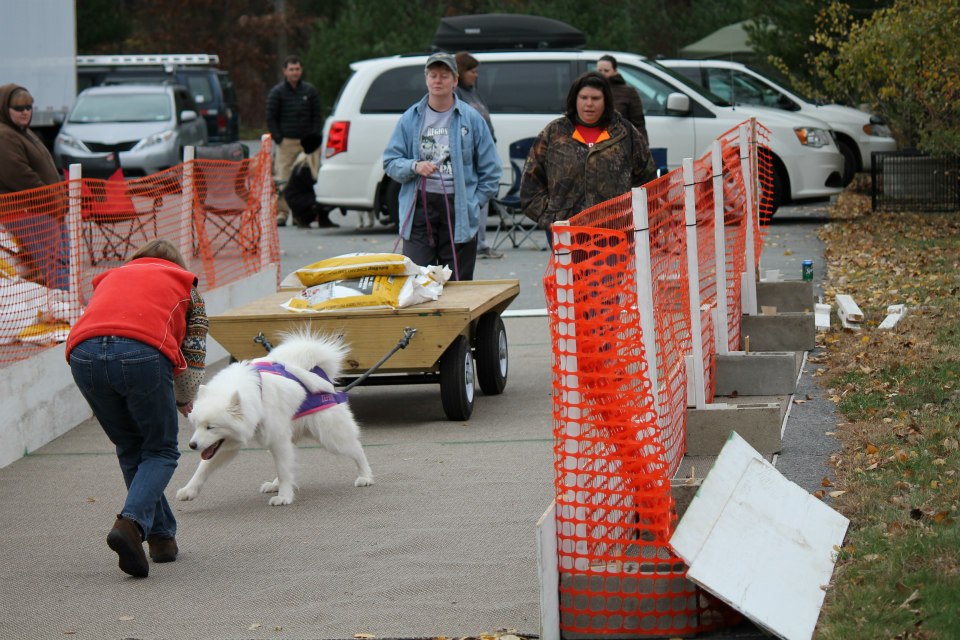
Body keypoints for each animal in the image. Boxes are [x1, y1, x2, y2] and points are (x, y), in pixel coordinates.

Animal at [178, 330, 374, 504]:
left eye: (211, 427)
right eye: (197, 426)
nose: (192, 445)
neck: (257, 396)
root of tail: (320, 372)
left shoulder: (277, 439)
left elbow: (283, 470)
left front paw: (284, 497)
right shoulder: (227, 445)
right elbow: (203, 468)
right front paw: (188, 490)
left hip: (330, 437)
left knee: (357, 450)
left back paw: (365, 476)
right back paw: (274, 484)